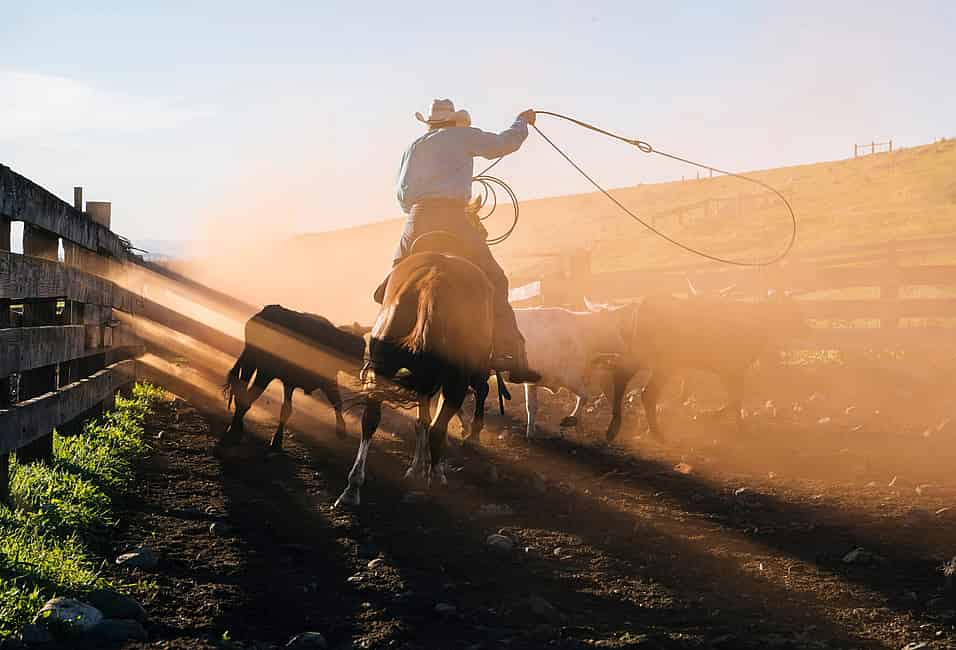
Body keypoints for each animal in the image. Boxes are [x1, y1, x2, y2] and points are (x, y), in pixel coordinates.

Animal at [222, 302, 368, 446]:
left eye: (363, 347)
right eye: (354, 348)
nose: (361, 367)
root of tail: (265, 312)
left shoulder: (325, 381)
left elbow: (336, 401)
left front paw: (341, 429)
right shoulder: (279, 377)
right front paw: (276, 440)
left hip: (251, 363)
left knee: (241, 392)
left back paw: (235, 428)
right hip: (257, 367)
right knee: (245, 396)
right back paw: (234, 429)